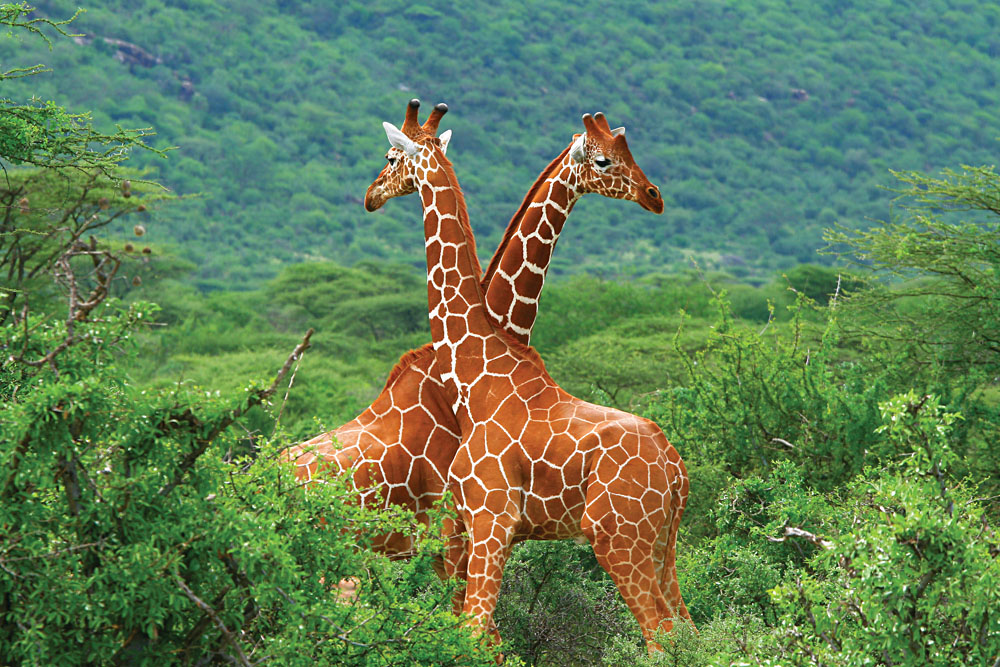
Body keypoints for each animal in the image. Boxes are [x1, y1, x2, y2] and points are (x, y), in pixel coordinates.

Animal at [363, 99, 691, 650]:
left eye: (390, 157)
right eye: (606, 158)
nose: (370, 195)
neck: (476, 374)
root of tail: (676, 470)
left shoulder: (489, 518)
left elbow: (474, 633)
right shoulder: (475, 528)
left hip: (619, 537)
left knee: (661, 634)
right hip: (662, 546)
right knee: (691, 630)